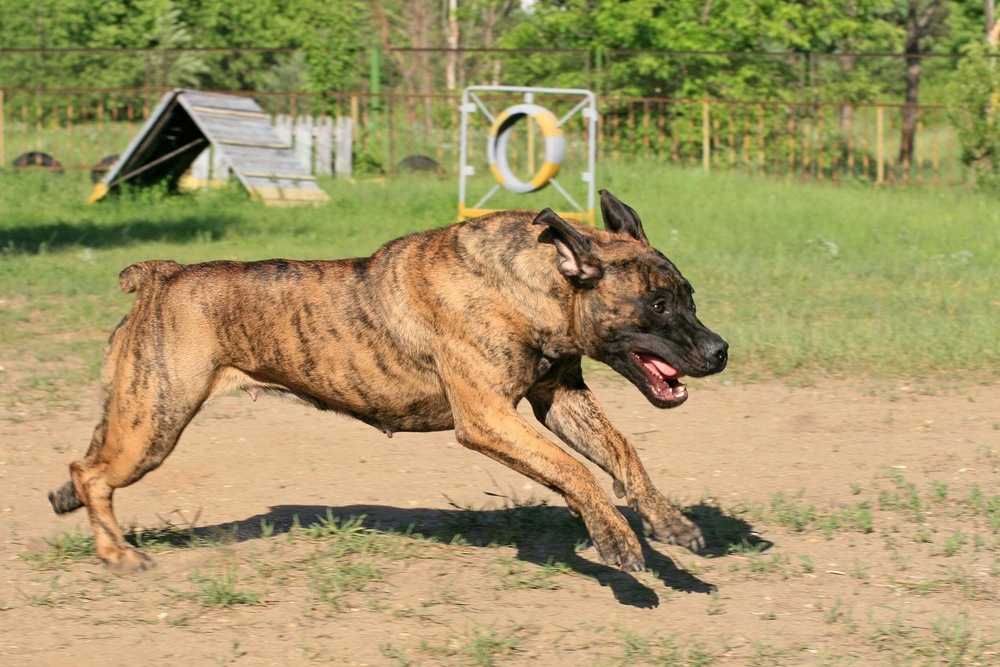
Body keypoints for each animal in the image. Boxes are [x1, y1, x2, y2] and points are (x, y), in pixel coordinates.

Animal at [48, 189, 728, 576]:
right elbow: (576, 472)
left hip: (136, 408)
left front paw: (671, 524)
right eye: (658, 304)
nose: (720, 351)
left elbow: (622, 455)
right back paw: (116, 553)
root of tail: (159, 277)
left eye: (690, 296)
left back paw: (68, 502)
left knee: (86, 462)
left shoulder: (558, 399)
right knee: (94, 472)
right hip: (155, 421)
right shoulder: (488, 418)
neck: (530, 285)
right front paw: (615, 539)